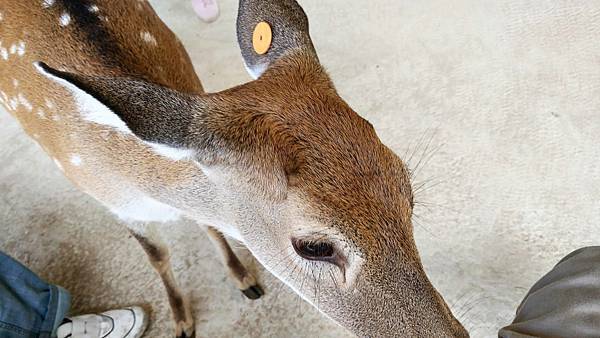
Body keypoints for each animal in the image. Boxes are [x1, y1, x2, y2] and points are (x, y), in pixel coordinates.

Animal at [0, 0, 468, 338]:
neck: (139, 178)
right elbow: (157, 254)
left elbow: (211, 223)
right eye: (314, 246)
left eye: (407, 190)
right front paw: (182, 320)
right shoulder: (108, 199)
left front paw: (244, 278)